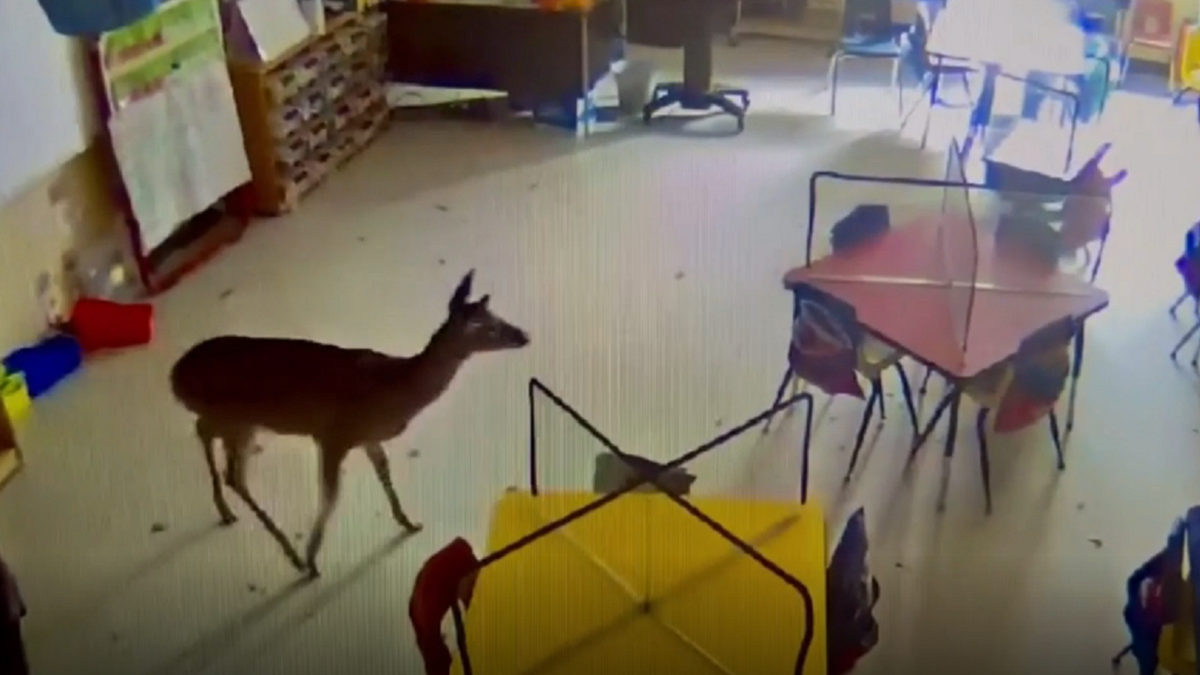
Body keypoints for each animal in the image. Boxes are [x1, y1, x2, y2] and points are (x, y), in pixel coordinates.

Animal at [171, 270, 528, 576]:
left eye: (497, 317)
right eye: (487, 326)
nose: (524, 335)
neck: (394, 391)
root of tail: (175, 378)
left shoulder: (366, 436)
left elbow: (383, 468)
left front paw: (408, 522)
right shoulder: (333, 436)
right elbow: (331, 495)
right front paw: (313, 560)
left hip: (231, 421)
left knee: (203, 433)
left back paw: (226, 512)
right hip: (238, 421)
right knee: (235, 473)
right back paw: (292, 554)